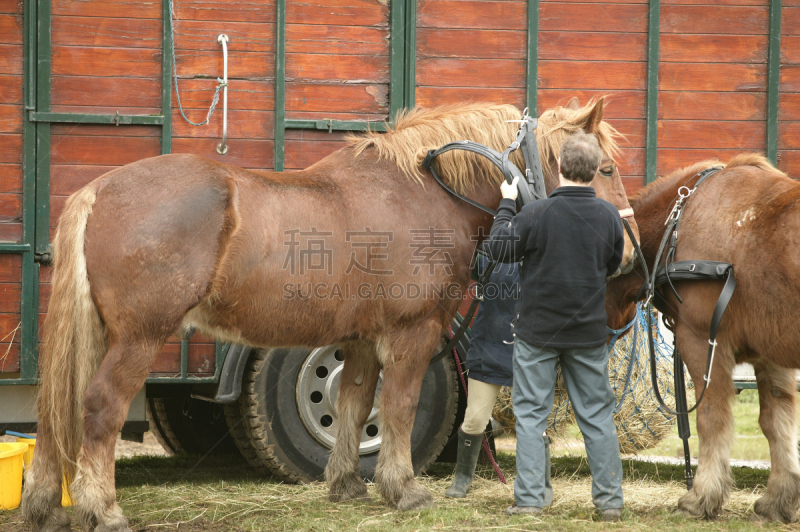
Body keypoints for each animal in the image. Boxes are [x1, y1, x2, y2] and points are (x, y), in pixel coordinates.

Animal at [21, 97, 640, 528]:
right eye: (606, 169)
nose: (629, 253)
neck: (421, 192)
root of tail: (100, 191)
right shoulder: (413, 334)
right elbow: (398, 408)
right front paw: (403, 488)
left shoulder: (361, 338)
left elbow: (353, 405)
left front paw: (347, 483)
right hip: (138, 339)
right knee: (99, 407)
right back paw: (104, 510)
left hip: (99, 336)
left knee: (57, 410)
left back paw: (45, 506)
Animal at [608, 152, 800, 520]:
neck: (680, 224)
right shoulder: (772, 353)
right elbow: (777, 422)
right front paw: (779, 499)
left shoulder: (702, 342)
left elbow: (711, 419)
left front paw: (701, 497)